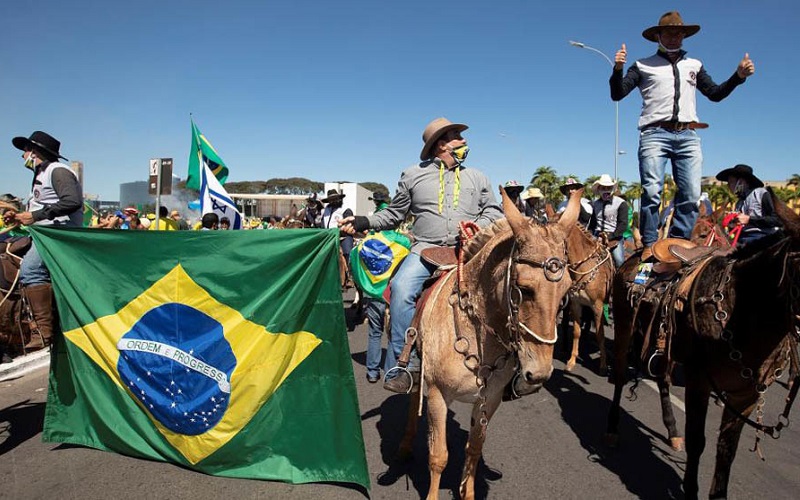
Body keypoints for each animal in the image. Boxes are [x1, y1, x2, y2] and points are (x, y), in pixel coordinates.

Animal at [394, 187, 580, 496]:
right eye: (524, 289)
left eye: (566, 291)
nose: (539, 374)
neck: (475, 330)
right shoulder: (437, 395)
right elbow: (438, 456)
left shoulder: (489, 399)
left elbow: (474, 450)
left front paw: (467, 492)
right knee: (410, 401)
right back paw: (405, 445)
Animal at [560, 225, 616, 374]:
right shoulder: (576, 303)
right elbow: (576, 331)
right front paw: (571, 361)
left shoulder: (598, 305)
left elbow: (600, 334)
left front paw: (603, 366)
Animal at [608, 189, 800, 498]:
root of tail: (638, 252)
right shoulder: (699, 380)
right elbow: (698, 440)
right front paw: (690, 489)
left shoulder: (745, 395)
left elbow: (727, 451)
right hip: (626, 326)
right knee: (622, 374)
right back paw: (613, 427)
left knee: (662, 379)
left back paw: (672, 431)